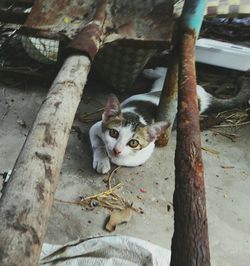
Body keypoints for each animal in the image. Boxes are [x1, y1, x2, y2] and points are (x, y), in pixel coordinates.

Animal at [89, 67, 248, 174]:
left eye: (133, 143)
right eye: (114, 133)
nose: (117, 150)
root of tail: (204, 97)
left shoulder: (145, 150)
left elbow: (126, 159)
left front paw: (111, 158)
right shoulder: (97, 126)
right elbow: (99, 144)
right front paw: (102, 159)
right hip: (164, 87)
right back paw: (152, 71)